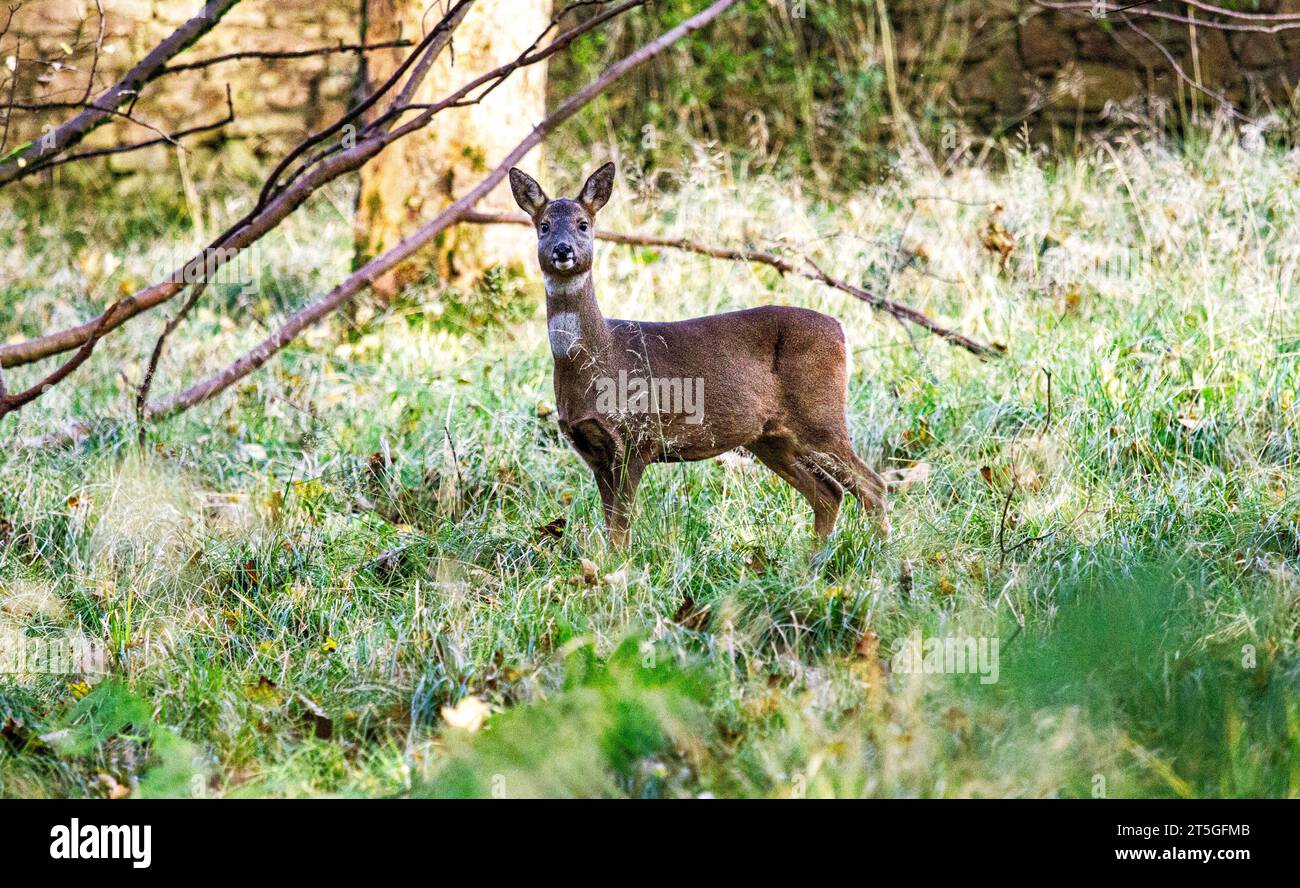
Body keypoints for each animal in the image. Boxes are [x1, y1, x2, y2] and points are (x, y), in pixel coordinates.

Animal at [509, 162, 890, 549]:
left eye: (583, 223)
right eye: (544, 225)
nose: (562, 249)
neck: (599, 358)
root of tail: (841, 330)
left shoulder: (637, 436)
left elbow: (621, 528)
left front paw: (619, 565)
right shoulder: (592, 450)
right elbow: (611, 526)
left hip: (820, 413)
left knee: (873, 485)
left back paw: (878, 553)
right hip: (771, 437)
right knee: (829, 493)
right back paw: (814, 558)